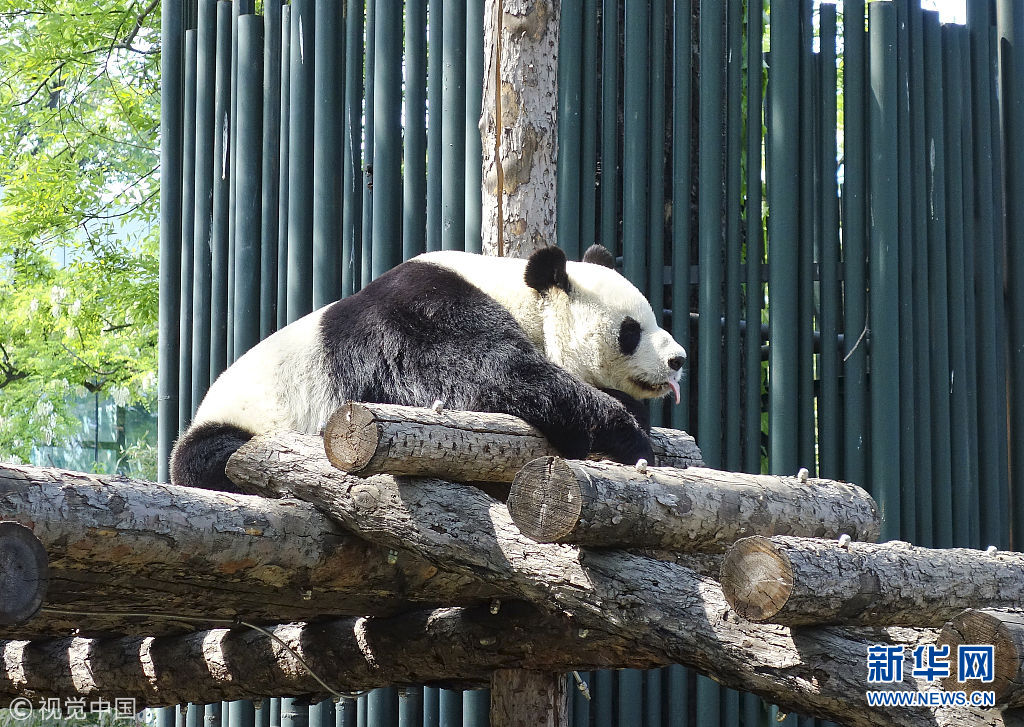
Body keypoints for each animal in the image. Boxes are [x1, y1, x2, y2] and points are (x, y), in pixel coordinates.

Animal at [170, 244, 687, 491]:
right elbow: (488, 379)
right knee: (216, 458)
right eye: (631, 331)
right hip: (240, 421)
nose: (678, 360)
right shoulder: (424, 314)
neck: (520, 294)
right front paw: (624, 434)